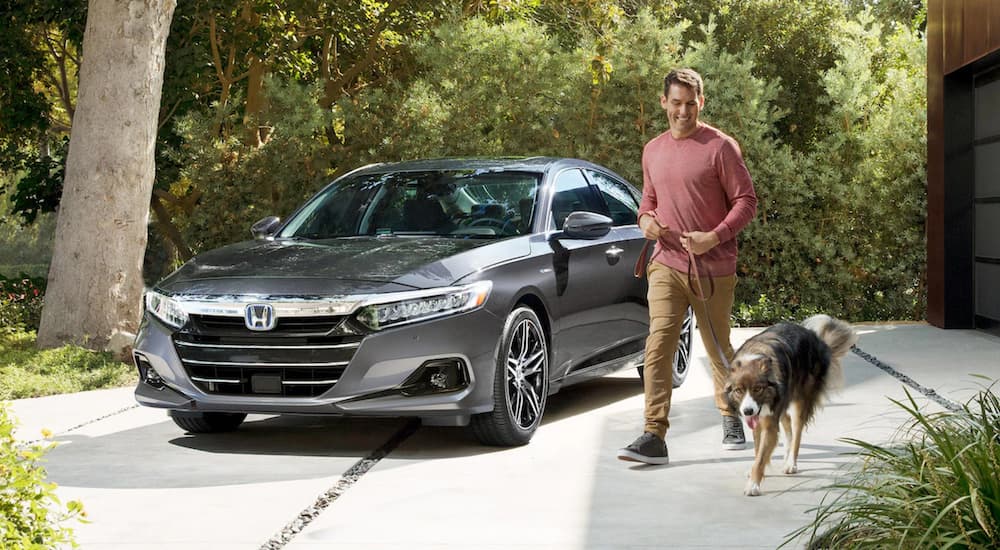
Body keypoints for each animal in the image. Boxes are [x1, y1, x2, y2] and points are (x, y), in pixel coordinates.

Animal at [724, 314, 856, 500]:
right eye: (738, 391)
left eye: (757, 389)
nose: (747, 411)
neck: (755, 357)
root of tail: (817, 340)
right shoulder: (760, 419)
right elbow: (758, 450)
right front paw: (757, 472)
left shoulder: (769, 422)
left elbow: (761, 456)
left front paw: (753, 485)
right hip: (785, 402)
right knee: (788, 429)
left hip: (800, 402)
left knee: (797, 433)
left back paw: (791, 463)